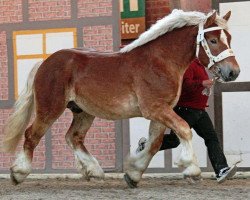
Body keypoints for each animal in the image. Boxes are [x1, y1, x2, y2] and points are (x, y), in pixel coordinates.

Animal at [2, 9, 240, 188]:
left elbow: (154, 144)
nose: (233, 72)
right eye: (213, 40)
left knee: (73, 137)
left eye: (229, 38)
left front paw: (133, 174)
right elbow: (183, 129)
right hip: (50, 107)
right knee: (31, 135)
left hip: (83, 111)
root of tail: (44, 63)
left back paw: (94, 171)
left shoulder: (160, 112)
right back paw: (18, 173)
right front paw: (191, 168)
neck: (160, 62)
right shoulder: (155, 108)